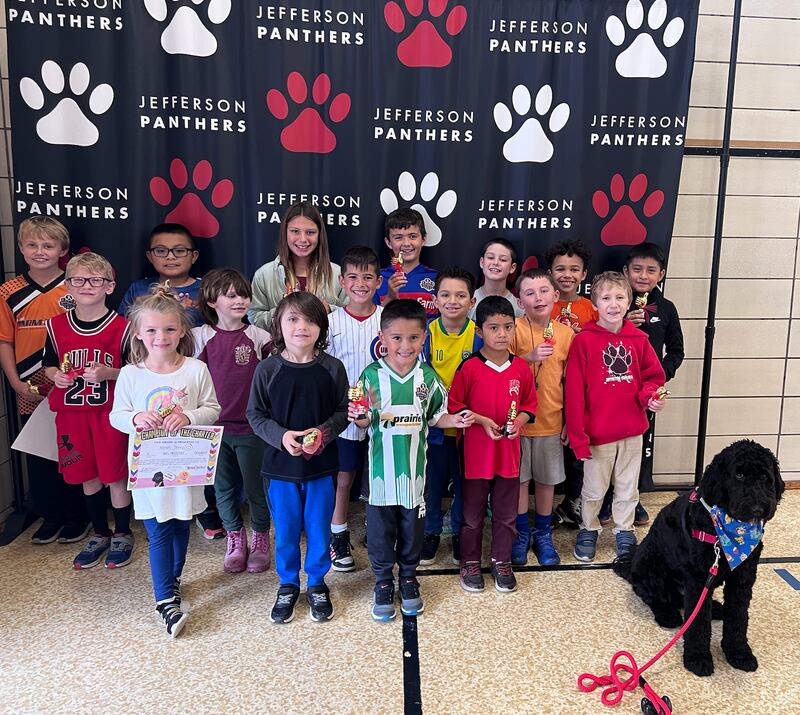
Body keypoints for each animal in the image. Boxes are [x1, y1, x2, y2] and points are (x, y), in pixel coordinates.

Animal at [616, 440, 784, 680]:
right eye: (739, 474)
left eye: (764, 477)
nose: (758, 508)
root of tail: (630, 566)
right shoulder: (697, 578)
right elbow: (698, 624)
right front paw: (698, 658)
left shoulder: (743, 578)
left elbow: (739, 617)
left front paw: (739, 653)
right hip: (651, 566)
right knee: (654, 597)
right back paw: (667, 614)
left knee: (685, 600)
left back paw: (715, 607)